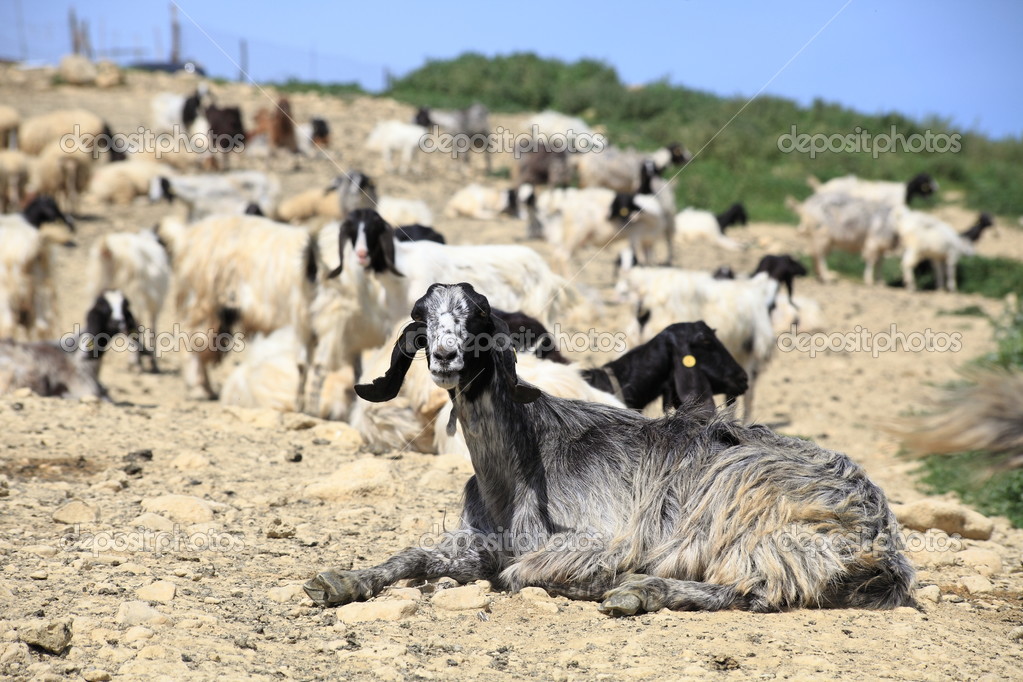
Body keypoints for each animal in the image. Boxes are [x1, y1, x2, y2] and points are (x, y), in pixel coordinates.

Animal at [304, 282, 915, 615]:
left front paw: (601, 581)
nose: (446, 358)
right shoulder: (480, 539)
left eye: (477, 319)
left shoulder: (595, 538)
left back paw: (637, 591)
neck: (517, 470)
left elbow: (518, 574)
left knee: (754, 590)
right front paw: (340, 581)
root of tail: (878, 529)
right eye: (422, 320)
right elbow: (413, 555)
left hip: (754, 519)